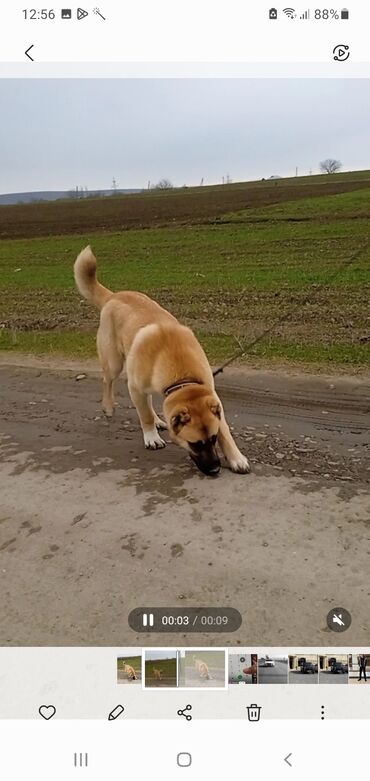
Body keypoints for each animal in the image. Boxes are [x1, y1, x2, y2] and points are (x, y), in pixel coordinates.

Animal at [73, 244, 250, 476]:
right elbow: (144, 415)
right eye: (195, 444)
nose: (214, 470)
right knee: (108, 381)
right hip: (114, 362)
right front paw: (151, 437)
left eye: (213, 439)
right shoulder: (135, 387)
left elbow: (225, 430)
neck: (183, 377)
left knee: (146, 401)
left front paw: (236, 457)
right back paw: (109, 407)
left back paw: (158, 420)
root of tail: (114, 295)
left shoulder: (210, 397)